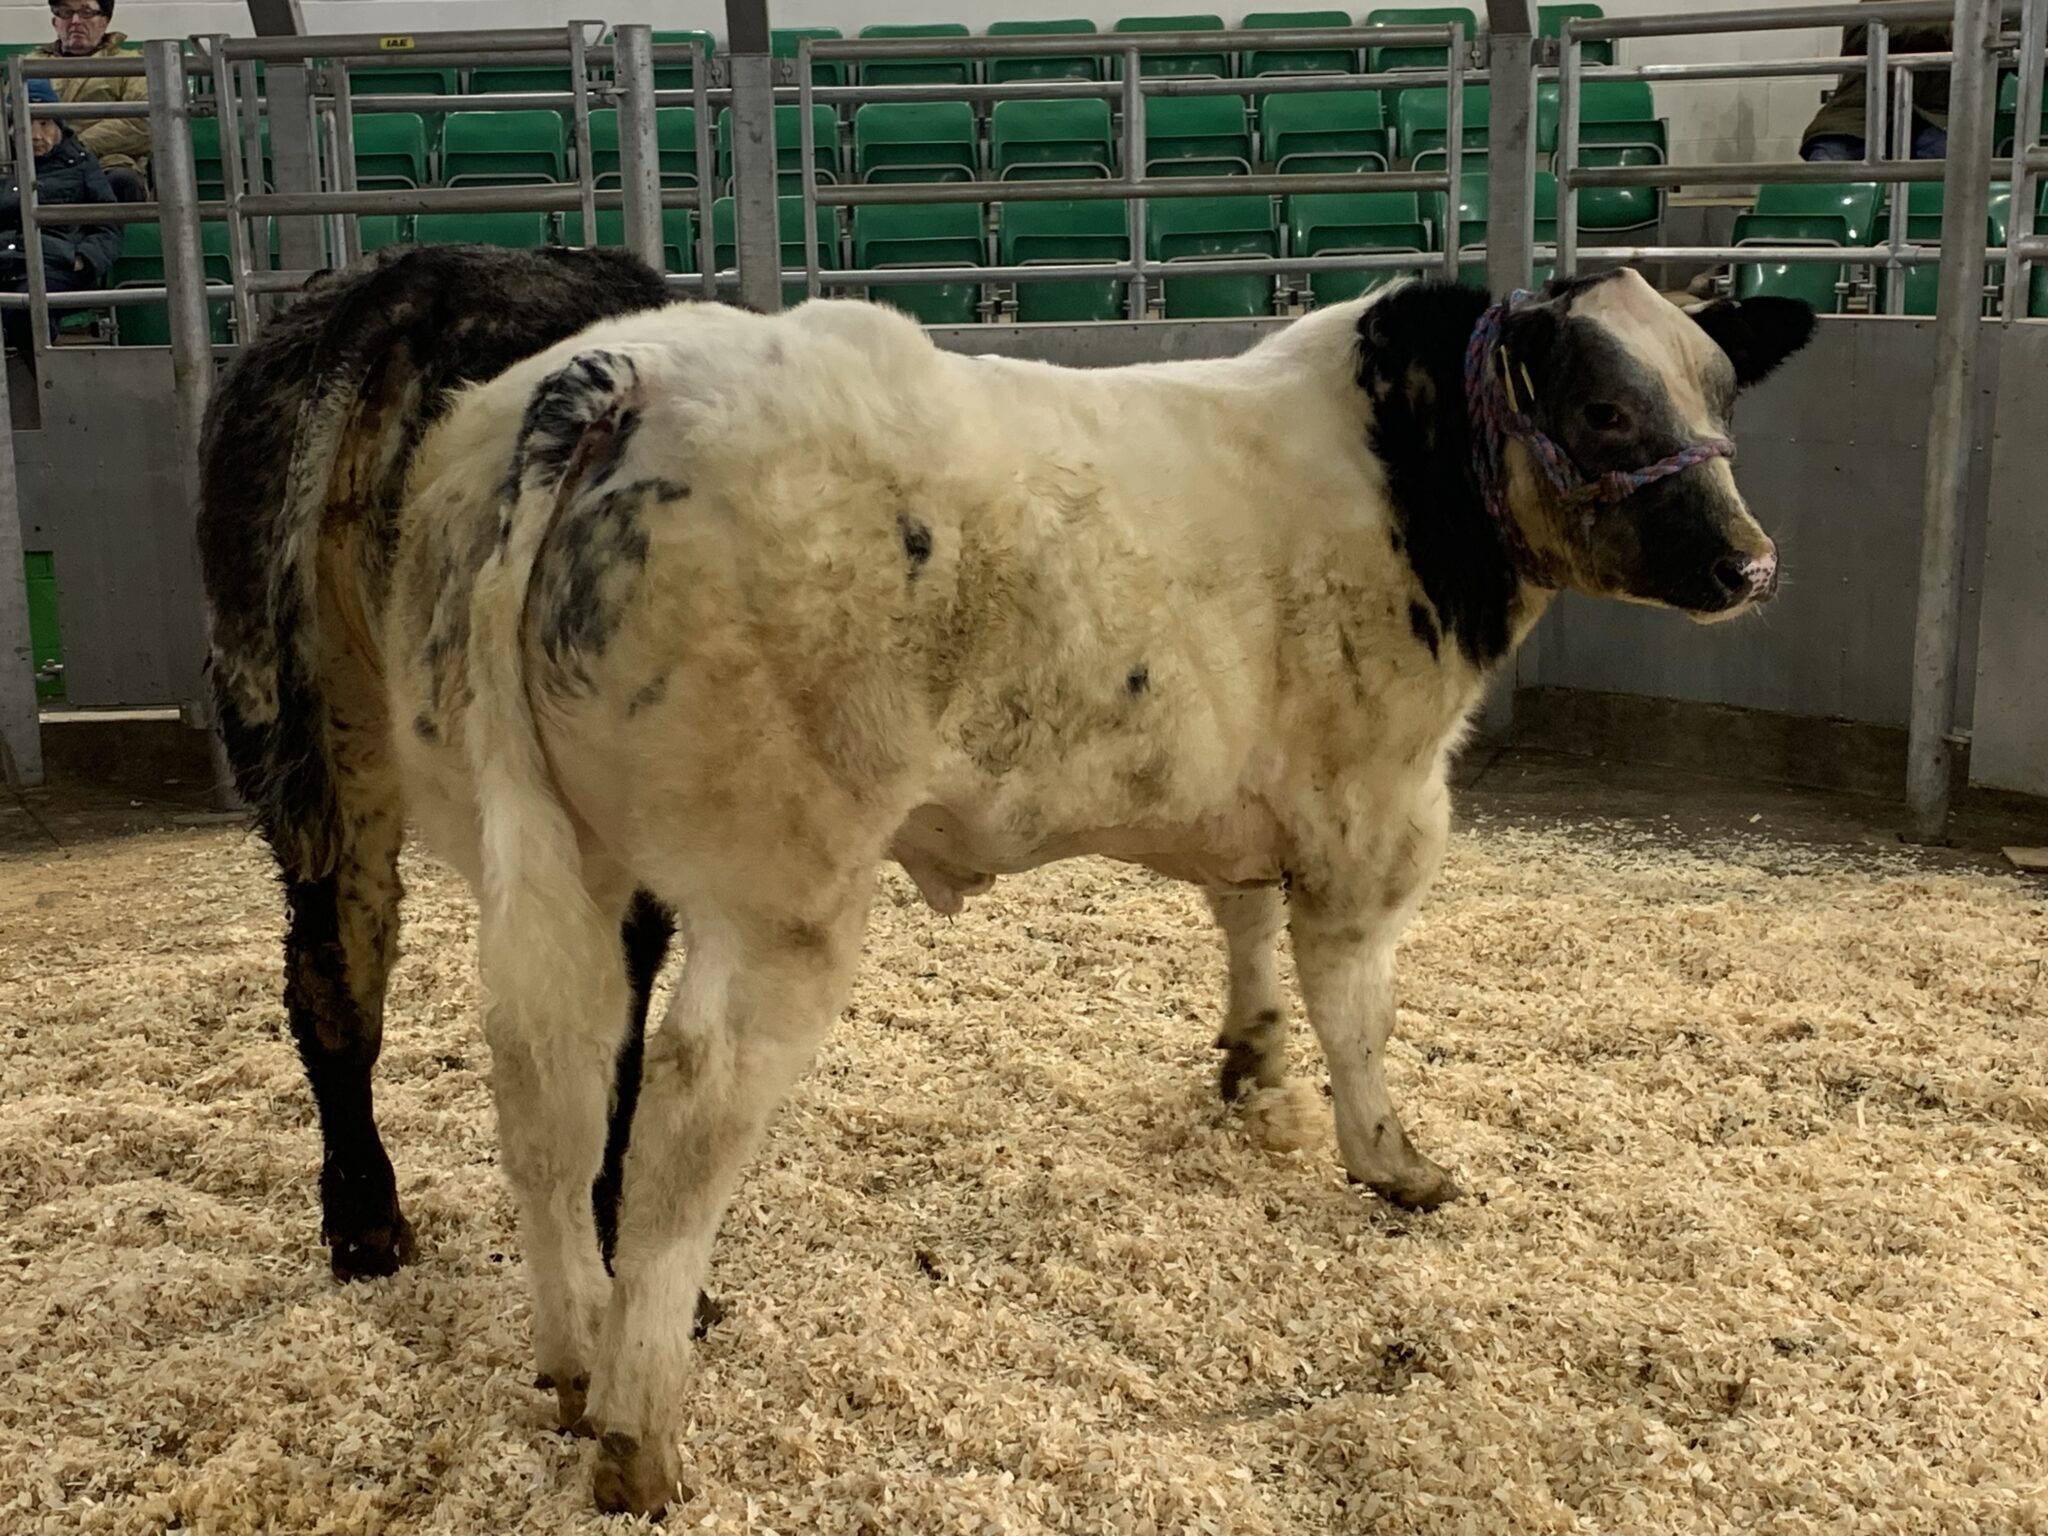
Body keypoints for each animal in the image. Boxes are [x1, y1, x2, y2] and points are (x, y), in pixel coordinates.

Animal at [351, 268, 1814, 1514]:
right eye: (1606, 407)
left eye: (1722, 394)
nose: (1749, 564)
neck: (1404, 472)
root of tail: (615, 374)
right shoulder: (1372, 804)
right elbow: (1357, 1000)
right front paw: (1394, 1162)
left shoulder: (1244, 792)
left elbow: (1243, 917)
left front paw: (1248, 1060)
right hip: (777, 882)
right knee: (682, 1118)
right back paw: (640, 1438)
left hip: (541, 846)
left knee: (549, 1083)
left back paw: (568, 1360)